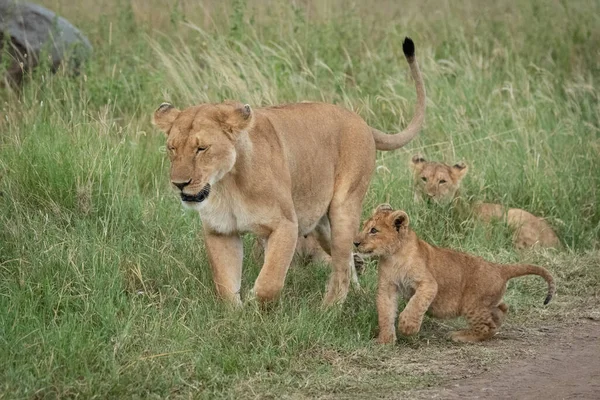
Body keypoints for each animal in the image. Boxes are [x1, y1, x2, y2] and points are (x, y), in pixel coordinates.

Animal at [152, 38, 424, 306]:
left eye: (201, 148)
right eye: (172, 148)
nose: (179, 183)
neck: (226, 183)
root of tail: (361, 121)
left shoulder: (285, 225)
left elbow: (270, 280)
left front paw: (253, 302)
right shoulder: (220, 231)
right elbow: (226, 286)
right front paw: (236, 313)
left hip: (344, 206)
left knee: (340, 269)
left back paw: (329, 309)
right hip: (323, 225)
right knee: (346, 256)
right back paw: (356, 293)